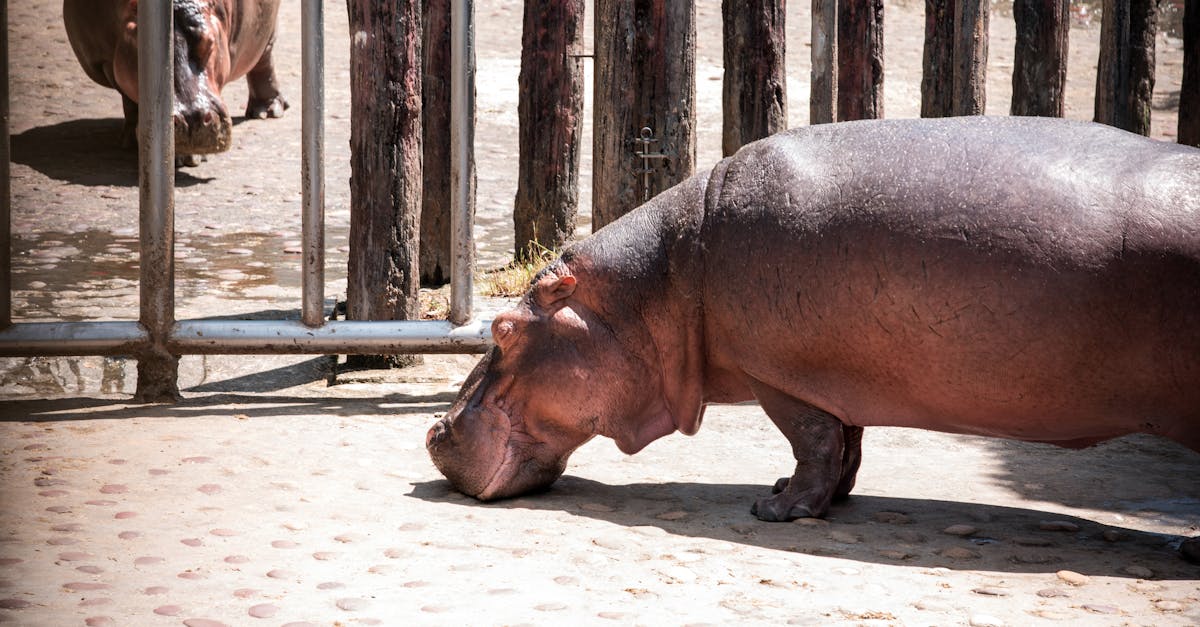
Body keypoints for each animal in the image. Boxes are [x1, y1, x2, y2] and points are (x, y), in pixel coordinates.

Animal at [63, 0, 287, 163]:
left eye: (209, 43)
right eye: (145, 50)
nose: (193, 119)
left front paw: (188, 156)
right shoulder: (108, 63)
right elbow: (129, 100)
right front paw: (132, 141)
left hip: (267, 33)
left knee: (264, 60)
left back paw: (267, 111)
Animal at [427, 117, 1200, 536]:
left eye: (501, 328)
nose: (434, 431)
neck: (659, 284)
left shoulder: (781, 376)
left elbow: (815, 442)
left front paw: (776, 508)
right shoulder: (834, 372)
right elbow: (848, 442)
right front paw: (824, 499)